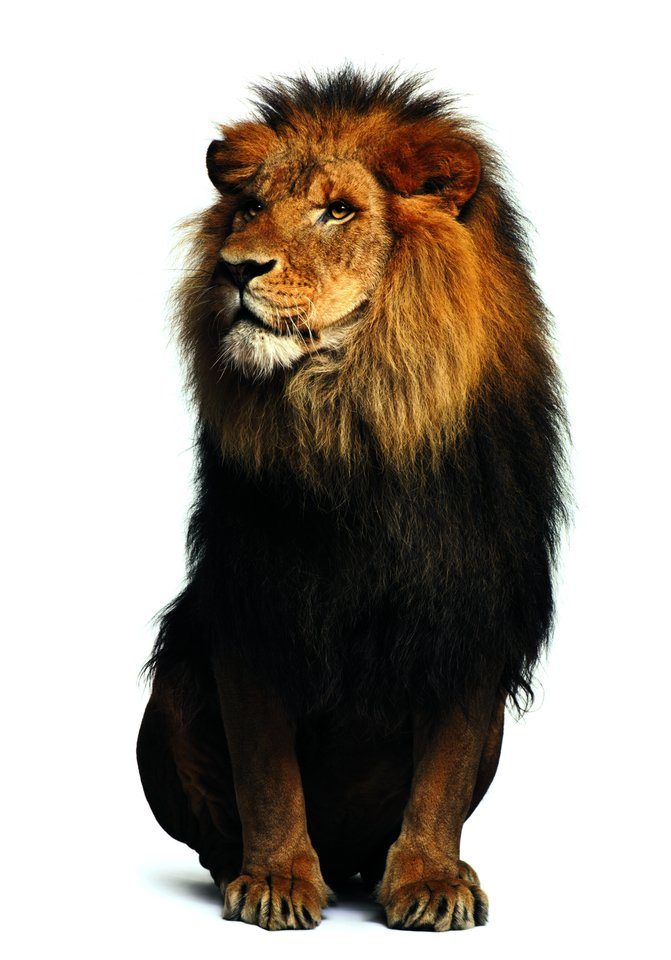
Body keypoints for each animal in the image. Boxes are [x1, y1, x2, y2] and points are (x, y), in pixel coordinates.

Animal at [137, 67, 568, 932]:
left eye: (337, 211)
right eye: (247, 208)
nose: (235, 268)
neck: (353, 423)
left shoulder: (471, 609)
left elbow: (441, 774)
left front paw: (430, 880)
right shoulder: (257, 602)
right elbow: (266, 770)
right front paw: (275, 879)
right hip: (167, 694)